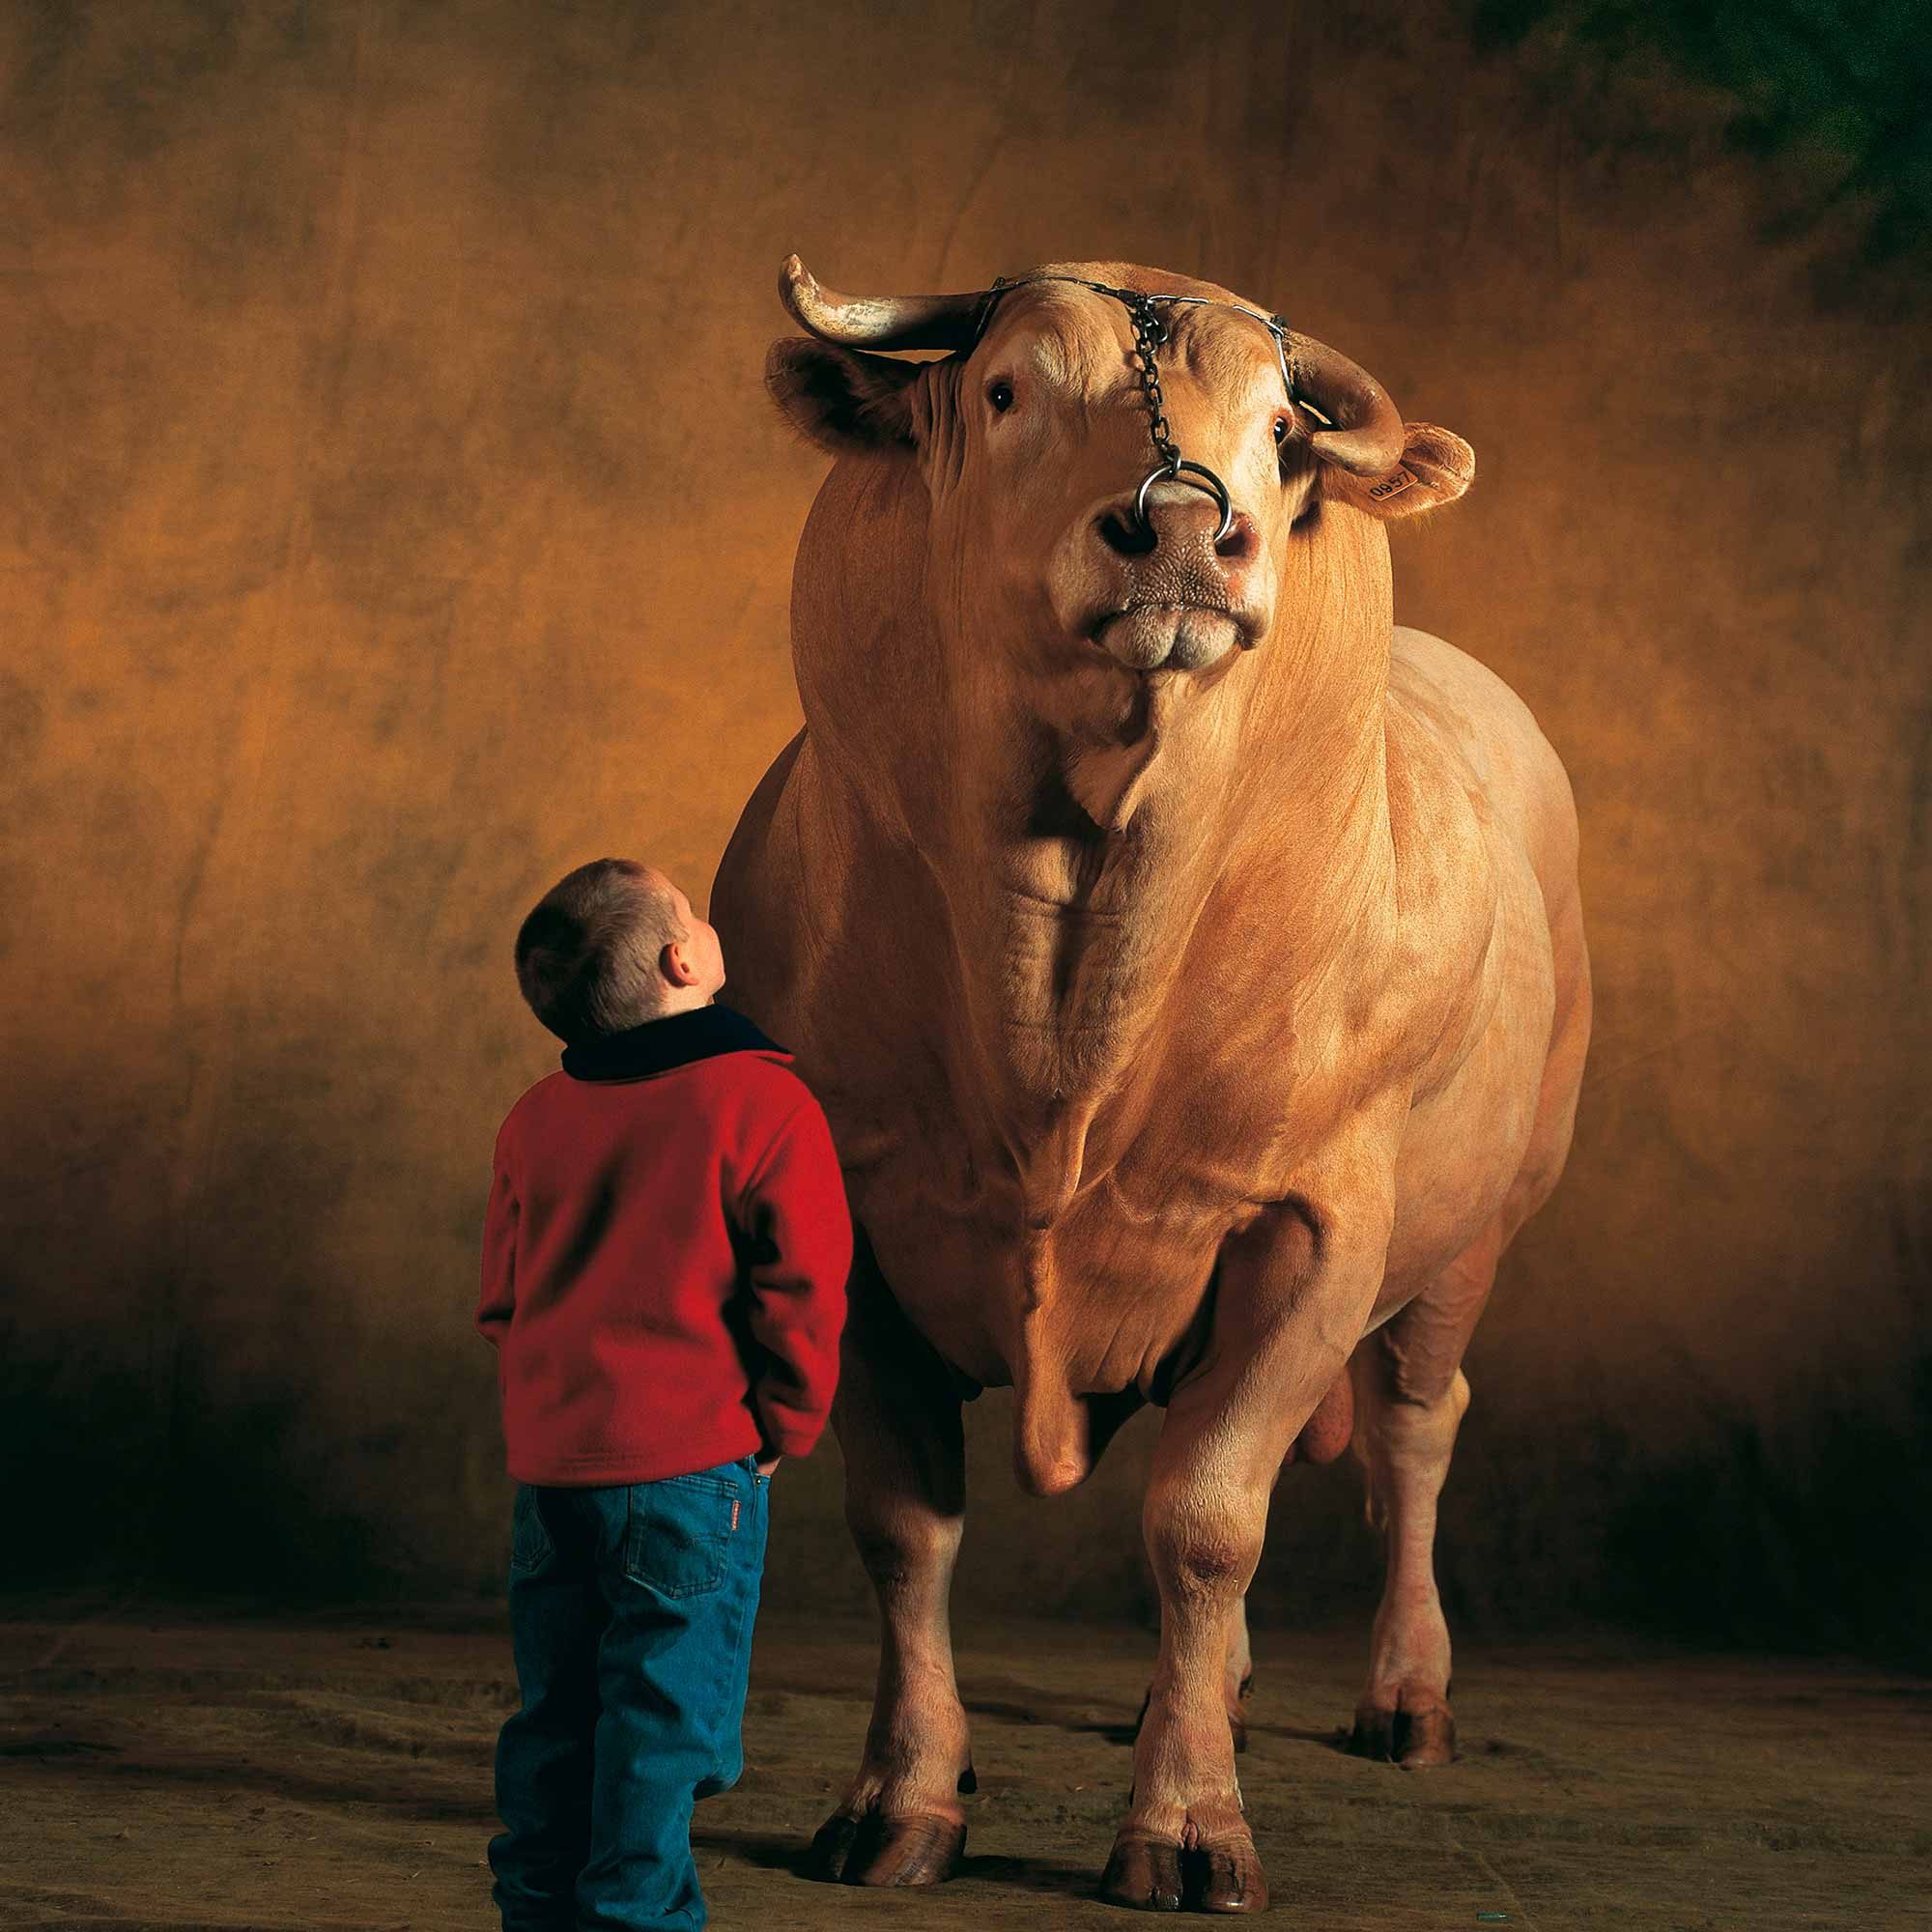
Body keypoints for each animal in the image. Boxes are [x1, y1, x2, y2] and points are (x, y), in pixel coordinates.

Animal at [719, 257, 1592, 1917]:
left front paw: (1187, 1825)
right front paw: (901, 1797)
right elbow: (904, 1527)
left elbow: (1206, 1520)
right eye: (1005, 390)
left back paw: (1405, 1694)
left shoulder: (1317, 1222)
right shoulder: (850, 1210)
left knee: (1415, 1425)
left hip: (1484, 1223)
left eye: (1279, 428)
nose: (1186, 530)